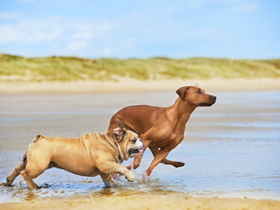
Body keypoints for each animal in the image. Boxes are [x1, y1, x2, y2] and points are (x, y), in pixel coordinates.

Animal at [3, 121, 144, 189]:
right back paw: (32, 185)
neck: (111, 143)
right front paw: (130, 176)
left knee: (18, 169)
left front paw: (114, 185)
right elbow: (121, 168)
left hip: (31, 162)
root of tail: (40, 138)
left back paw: (9, 181)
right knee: (24, 173)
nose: (141, 141)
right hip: (38, 166)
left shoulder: (105, 170)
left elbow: (107, 179)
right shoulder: (106, 164)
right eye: (134, 140)